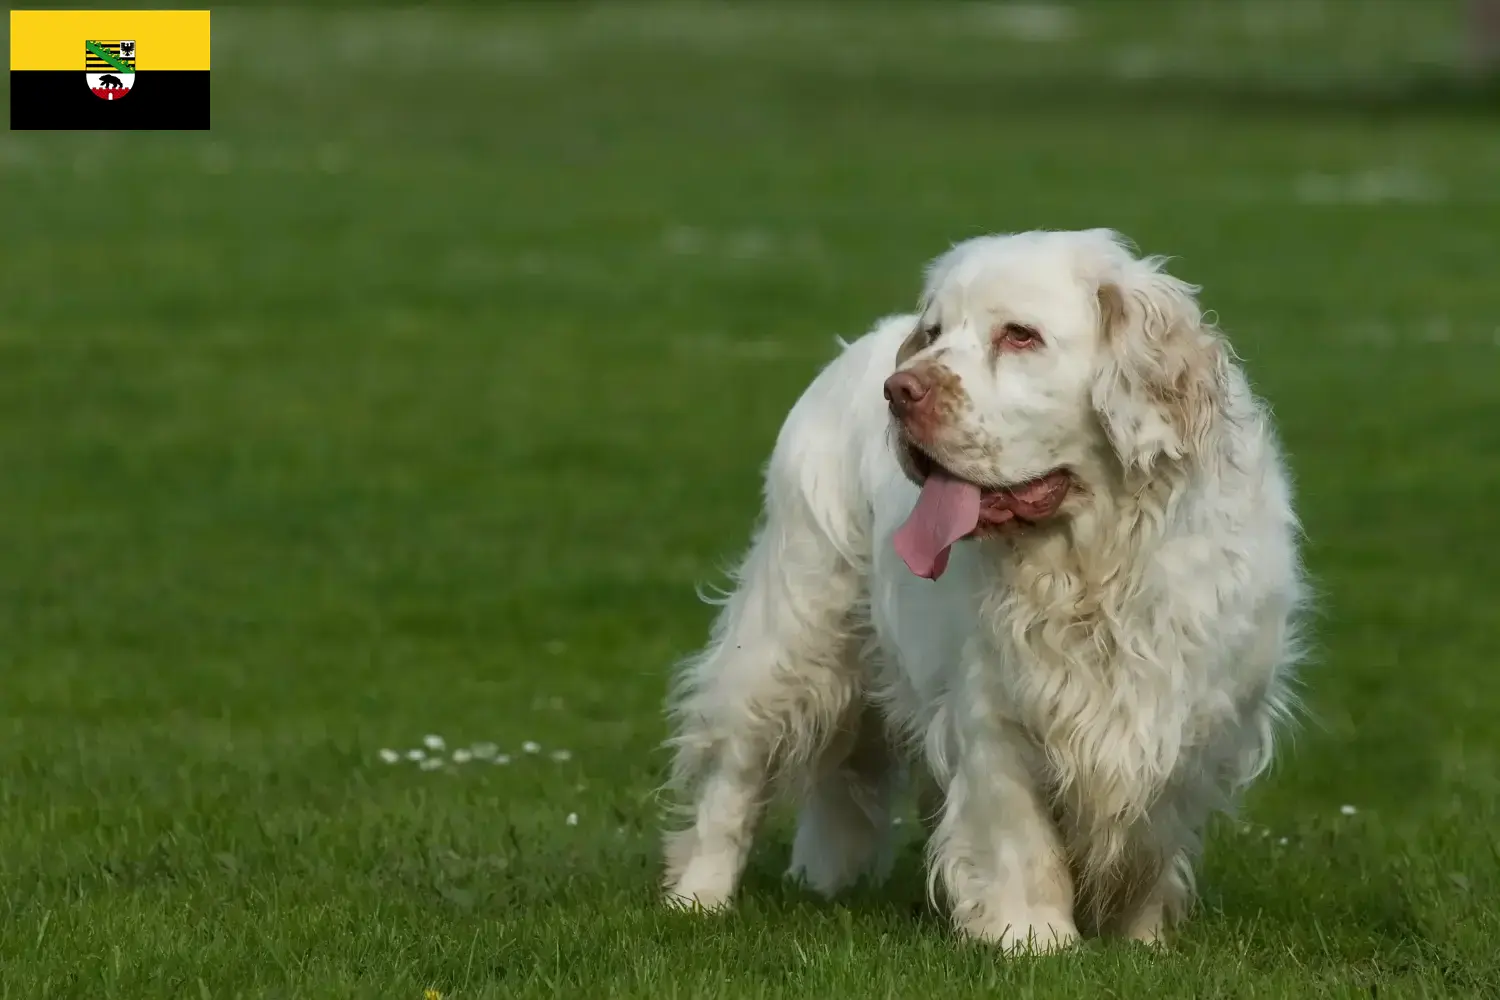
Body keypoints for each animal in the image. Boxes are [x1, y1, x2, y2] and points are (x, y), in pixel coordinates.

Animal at [663, 229, 1308, 953]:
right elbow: (1016, 833)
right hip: (792, 627)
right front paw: (1033, 937)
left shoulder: (1192, 714)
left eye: (1020, 336)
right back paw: (698, 896)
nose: (899, 390)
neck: (1091, 564)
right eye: (934, 333)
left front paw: (1139, 938)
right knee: (734, 769)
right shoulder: (993, 706)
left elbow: (1152, 834)